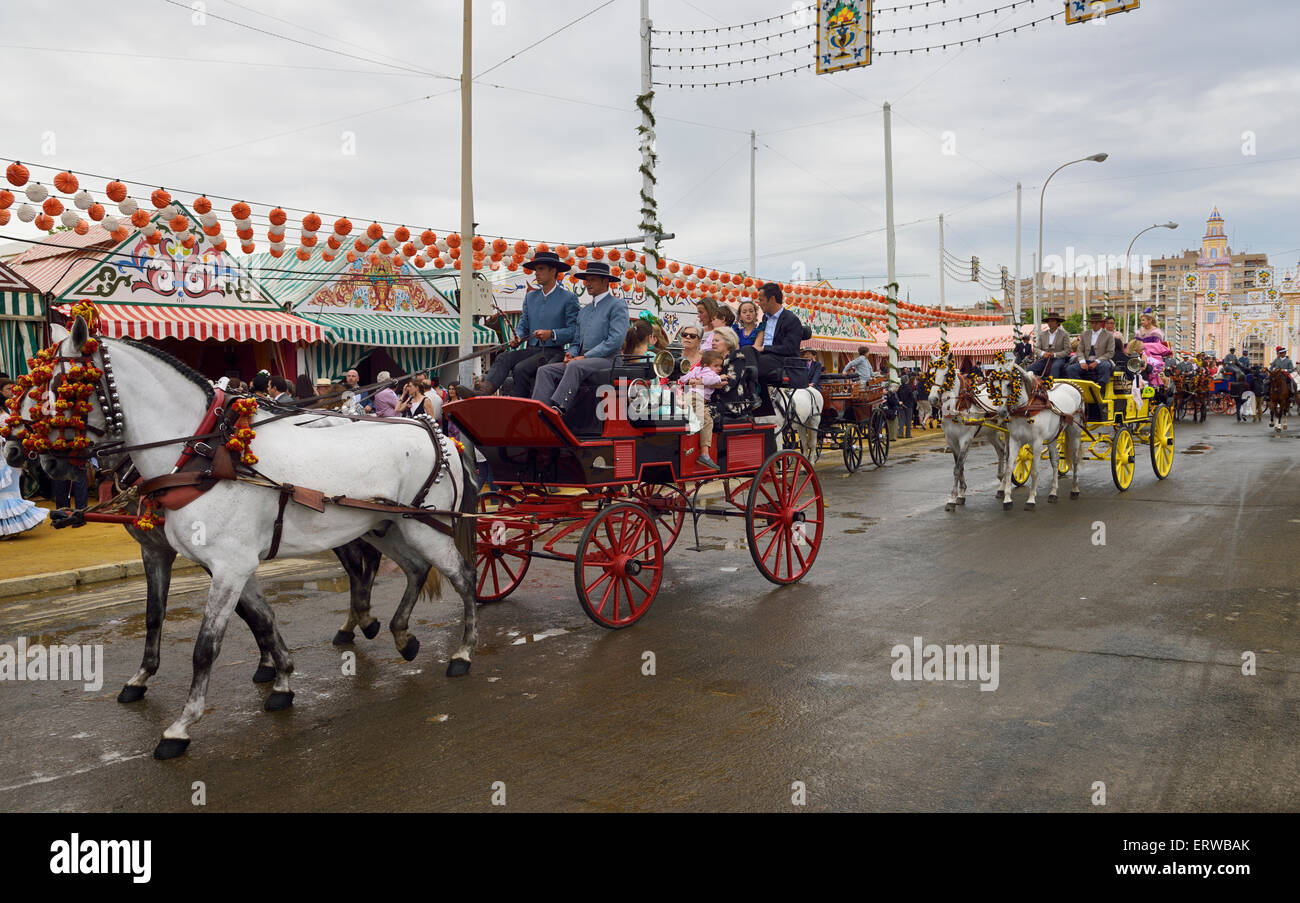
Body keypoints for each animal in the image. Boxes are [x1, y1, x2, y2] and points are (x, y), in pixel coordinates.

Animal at [40, 320, 480, 758]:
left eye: (66, 386)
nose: (45, 462)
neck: (205, 455)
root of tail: (436, 433)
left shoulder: (229, 567)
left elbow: (207, 646)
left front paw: (181, 726)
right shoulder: (221, 563)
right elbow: (257, 619)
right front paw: (280, 679)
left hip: (425, 527)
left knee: (463, 575)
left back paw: (462, 651)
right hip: (385, 527)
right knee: (414, 568)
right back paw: (400, 636)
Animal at [930, 356, 1008, 511]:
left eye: (947, 375)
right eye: (933, 374)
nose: (932, 399)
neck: (957, 407)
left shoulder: (965, 440)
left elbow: (957, 468)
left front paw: (952, 499)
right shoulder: (951, 441)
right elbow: (960, 466)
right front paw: (961, 494)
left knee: (1009, 455)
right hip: (991, 432)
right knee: (1001, 450)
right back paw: (1001, 485)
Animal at [993, 366, 1086, 509]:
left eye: (1009, 384)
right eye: (995, 385)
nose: (1001, 412)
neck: (1027, 408)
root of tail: (1071, 385)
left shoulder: (1037, 442)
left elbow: (1035, 471)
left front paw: (1031, 499)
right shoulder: (1014, 440)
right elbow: (1008, 469)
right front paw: (1007, 499)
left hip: (1075, 431)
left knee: (1075, 459)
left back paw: (1075, 489)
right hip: (1053, 436)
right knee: (1055, 460)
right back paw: (1053, 493)